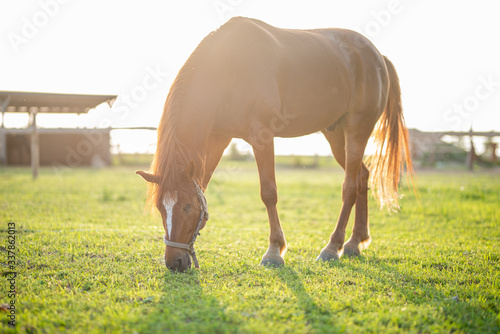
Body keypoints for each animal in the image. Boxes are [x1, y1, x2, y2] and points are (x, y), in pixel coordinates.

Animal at [135, 17, 412, 272]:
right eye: (160, 207)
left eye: (187, 206)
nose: (175, 262)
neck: (228, 69)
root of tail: (377, 56)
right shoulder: (218, 138)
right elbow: (204, 185)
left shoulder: (262, 138)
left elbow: (268, 193)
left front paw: (274, 251)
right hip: (335, 136)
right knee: (363, 176)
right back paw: (355, 242)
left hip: (357, 130)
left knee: (350, 186)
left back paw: (333, 247)